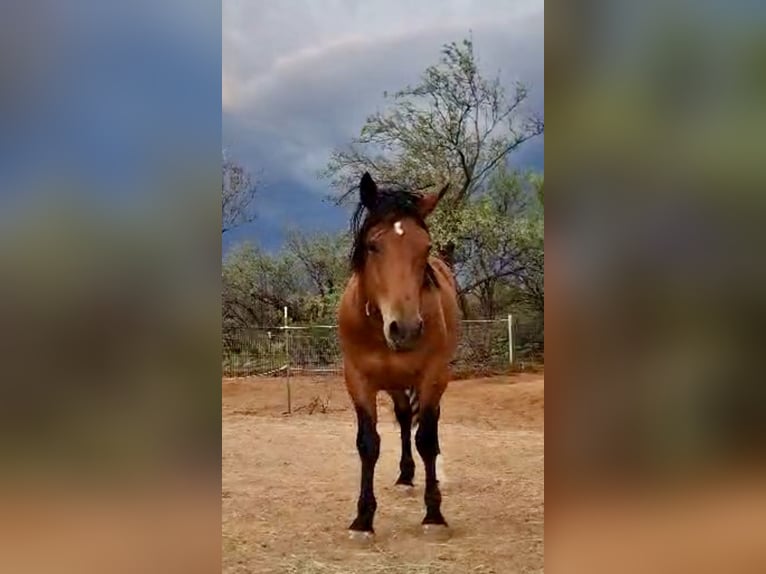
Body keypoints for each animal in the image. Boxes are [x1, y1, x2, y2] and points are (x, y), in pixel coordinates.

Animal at [338, 171, 460, 540]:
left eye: (426, 247)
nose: (405, 330)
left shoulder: (433, 376)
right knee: (406, 418)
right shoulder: (358, 380)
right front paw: (363, 520)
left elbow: (427, 440)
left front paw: (433, 515)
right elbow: (368, 443)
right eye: (373, 246)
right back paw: (406, 476)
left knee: (425, 426)